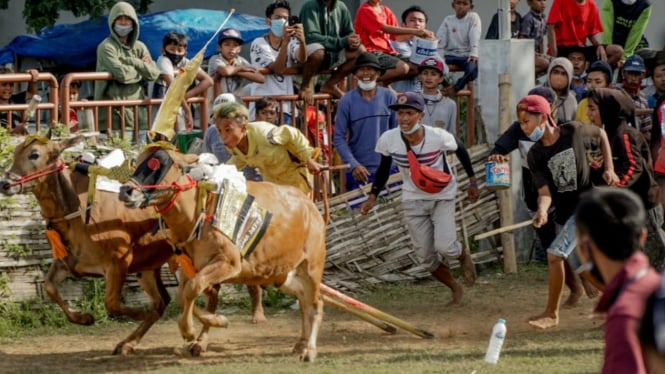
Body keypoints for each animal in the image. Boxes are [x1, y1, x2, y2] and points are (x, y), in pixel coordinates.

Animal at [0, 136, 184, 356]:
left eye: (34, 154)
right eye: (16, 151)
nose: (5, 183)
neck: (76, 211)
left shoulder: (118, 262)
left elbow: (111, 303)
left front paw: (140, 313)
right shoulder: (68, 262)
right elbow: (49, 287)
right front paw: (84, 318)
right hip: (147, 267)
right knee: (161, 302)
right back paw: (128, 343)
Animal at [120, 147, 328, 362]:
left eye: (158, 164)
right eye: (137, 162)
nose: (125, 191)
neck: (198, 214)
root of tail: (310, 206)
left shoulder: (228, 262)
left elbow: (193, 289)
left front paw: (189, 330)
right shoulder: (191, 267)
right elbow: (182, 295)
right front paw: (216, 322)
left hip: (312, 267)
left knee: (315, 304)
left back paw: (309, 350)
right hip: (282, 274)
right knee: (304, 300)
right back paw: (300, 343)